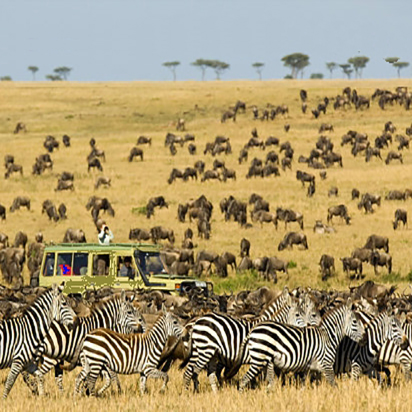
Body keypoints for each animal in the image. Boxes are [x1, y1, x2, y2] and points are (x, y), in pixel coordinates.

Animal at [182, 288, 320, 392]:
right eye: (298, 314)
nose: (309, 328)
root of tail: (197, 321)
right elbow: (272, 375)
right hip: (203, 350)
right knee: (190, 372)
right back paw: (188, 393)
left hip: (209, 352)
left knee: (205, 373)